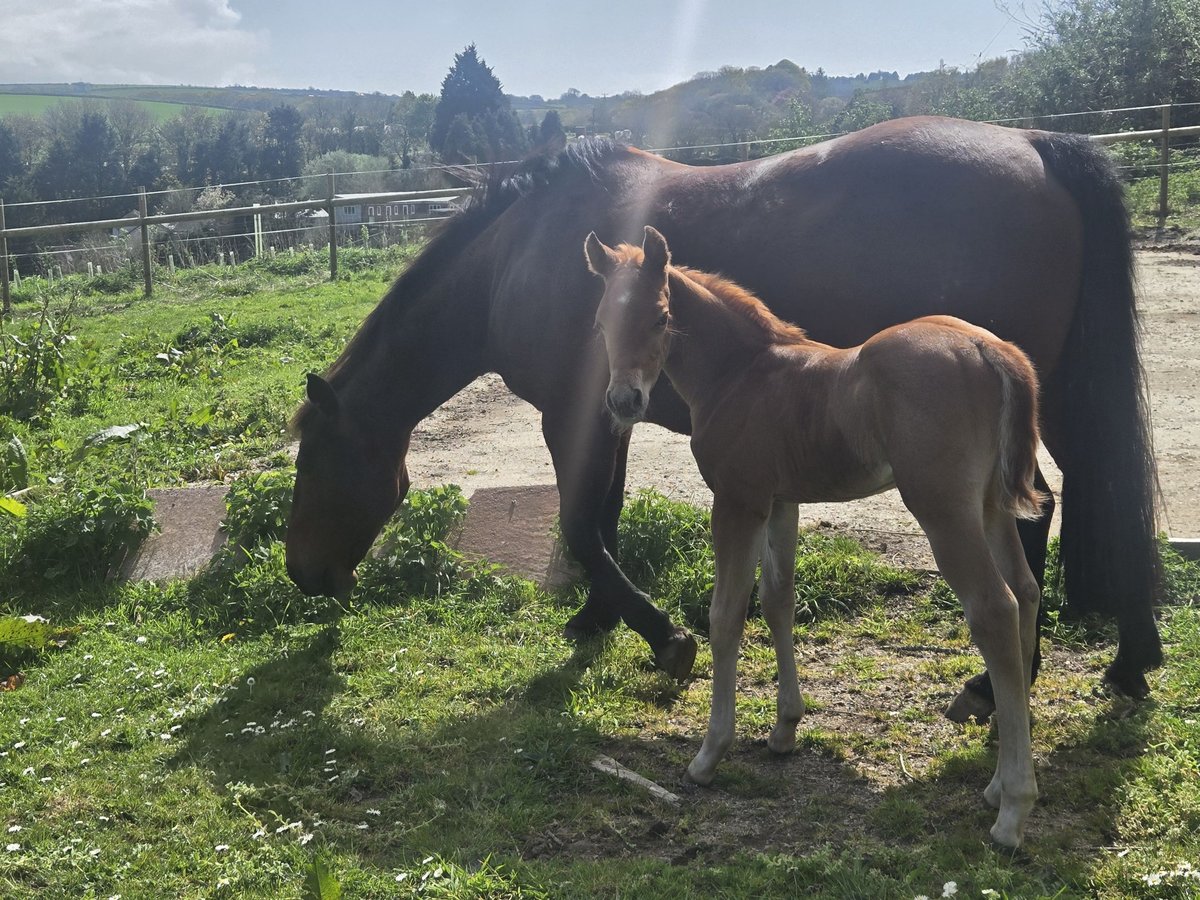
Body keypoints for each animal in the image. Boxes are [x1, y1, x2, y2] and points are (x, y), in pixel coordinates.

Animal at [286, 117, 1161, 721]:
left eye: (311, 464)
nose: (302, 576)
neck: (515, 258)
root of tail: (1039, 144)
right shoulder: (612, 417)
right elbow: (602, 517)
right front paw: (597, 620)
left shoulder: (571, 419)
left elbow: (579, 525)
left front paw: (663, 637)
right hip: (1045, 395)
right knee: (1073, 497)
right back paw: (1125, 661)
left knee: (1046, 511)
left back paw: (1002, 680)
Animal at [586, 225, 1046, 847]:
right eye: (602, 321)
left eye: (660, 317)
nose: (624, 401)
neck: (741, 374)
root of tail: (988, 349)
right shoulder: (782, 501)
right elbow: (778, 600)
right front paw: (784, 728)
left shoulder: (738, 502)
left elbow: (726, 615)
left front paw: (709, 754)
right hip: (991, 506)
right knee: (1025, 592)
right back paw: (997, 785)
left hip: (943, 509)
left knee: (994, 608)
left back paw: (1013, 810)